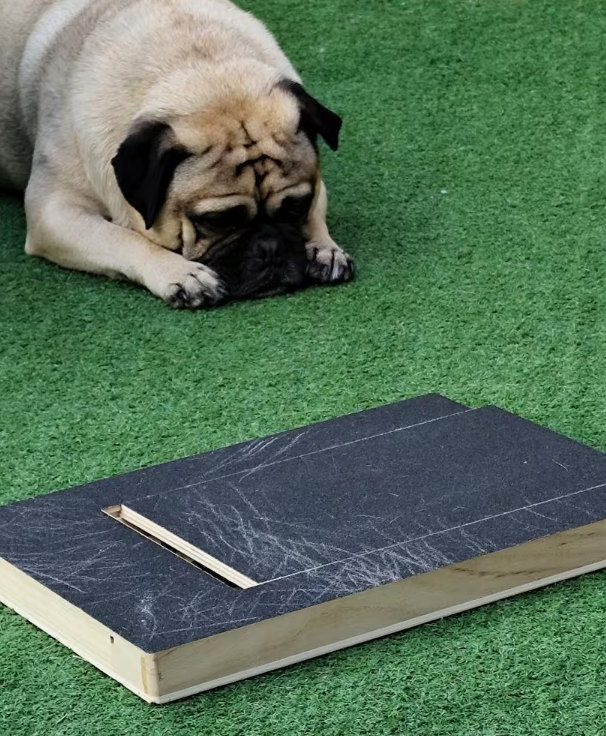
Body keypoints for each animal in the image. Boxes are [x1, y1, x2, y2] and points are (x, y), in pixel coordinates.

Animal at [0, 0, 354, 307]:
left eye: (296, 208)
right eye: (216, 220)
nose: (271, 248)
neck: (197, 61)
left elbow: (318, 210)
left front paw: (323, 246)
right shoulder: (54, 213)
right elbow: (124, 239)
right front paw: (181, 273)